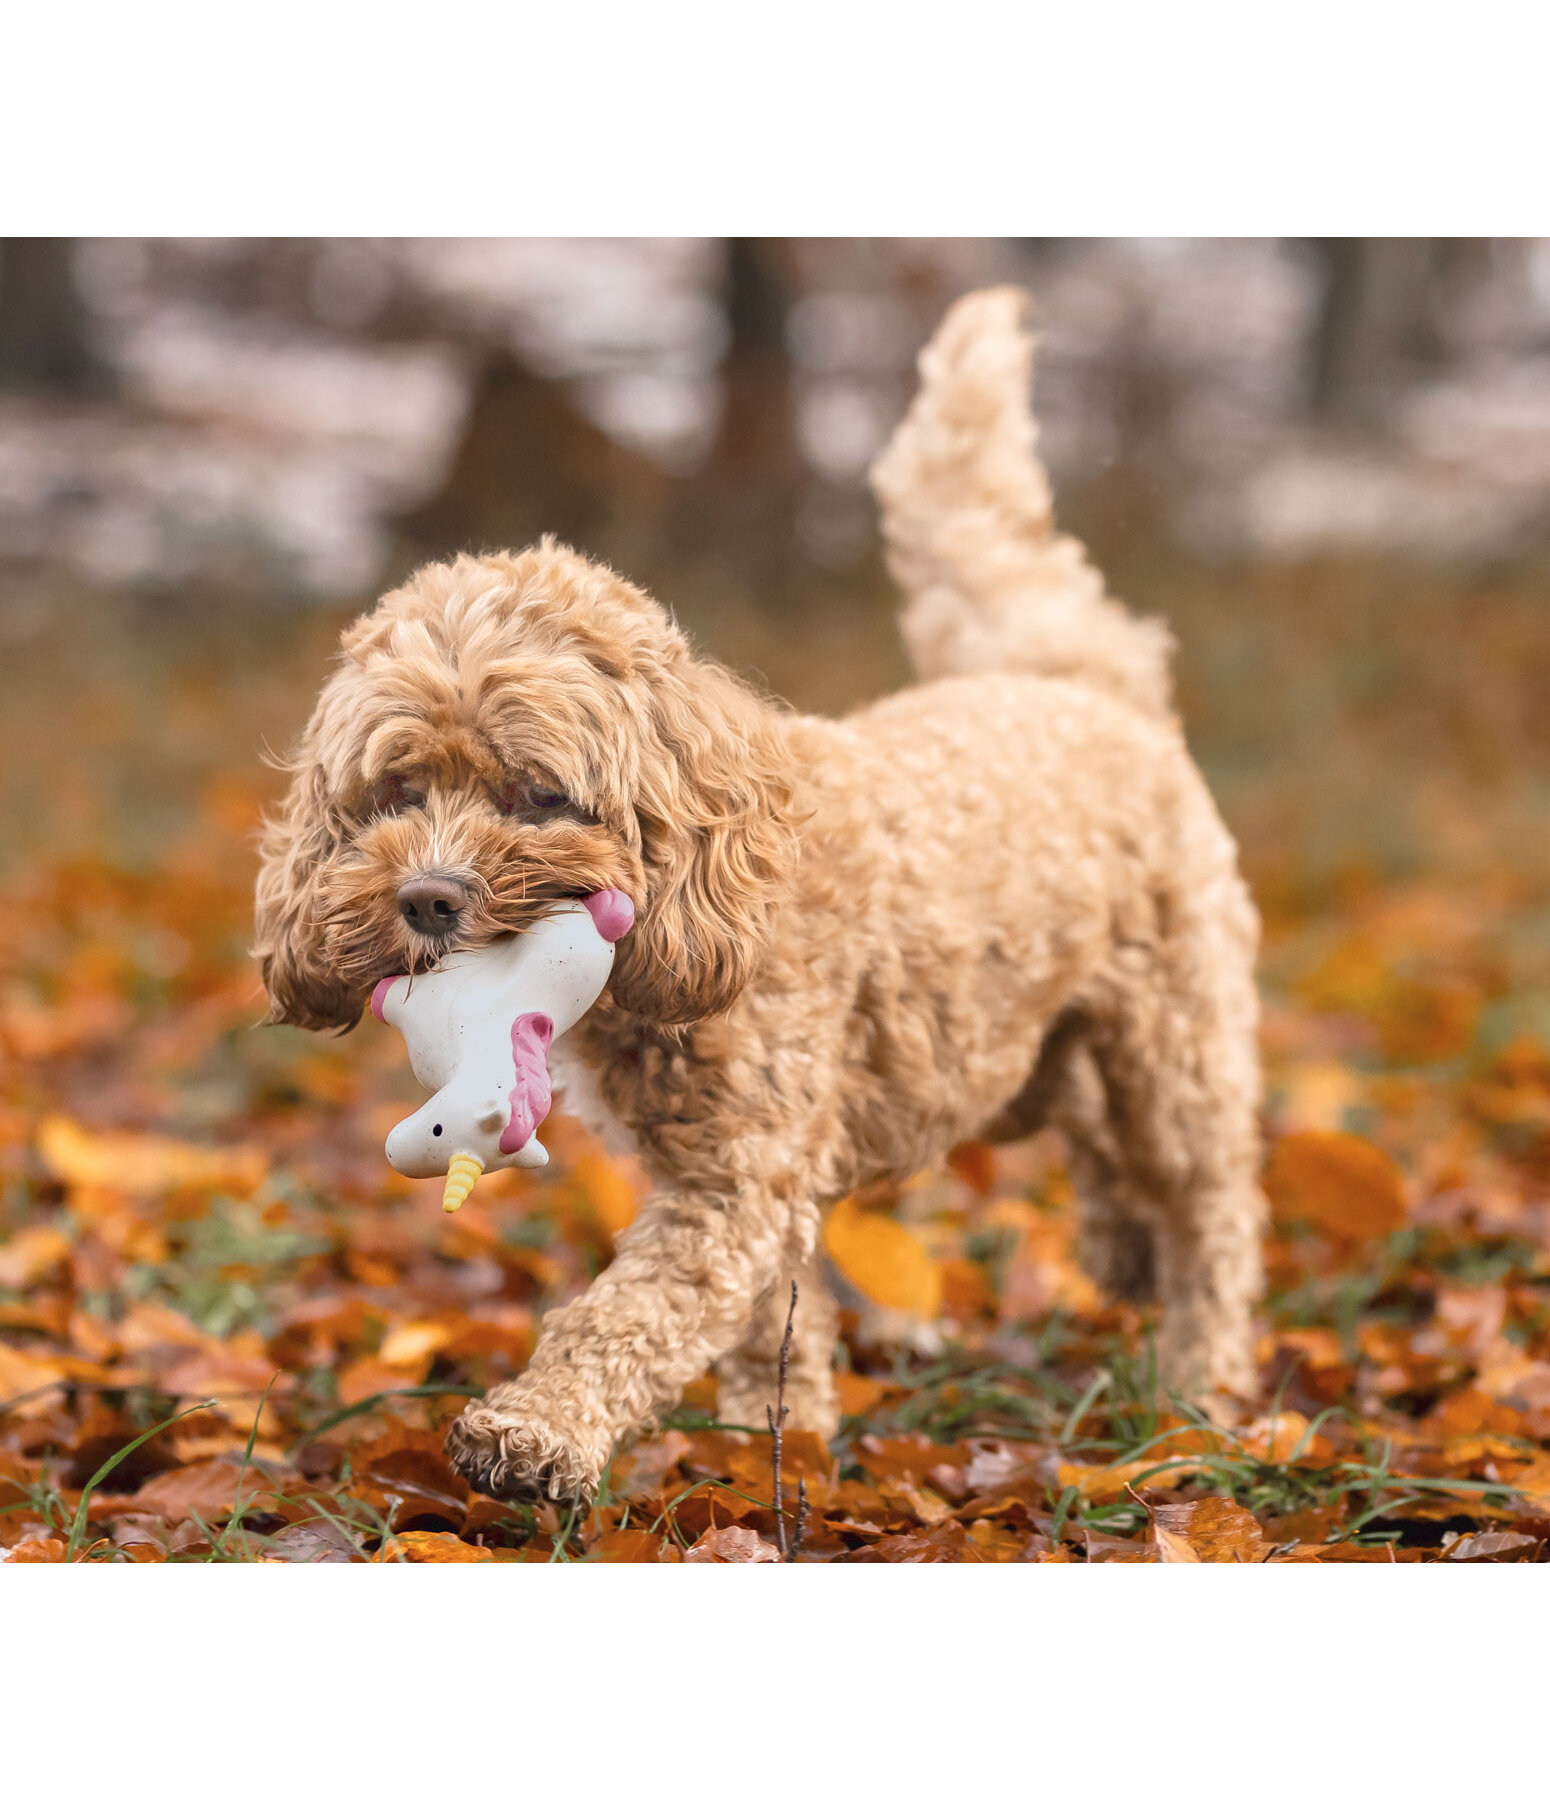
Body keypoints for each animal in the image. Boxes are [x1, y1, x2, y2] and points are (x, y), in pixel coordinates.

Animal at [253, 288, 1267, 1497]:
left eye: (540, 796)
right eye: (397, 791)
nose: (429, 900)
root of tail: (1081, 681)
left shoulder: (733, 1181)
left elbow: (635, 1313)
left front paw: (538, 1430)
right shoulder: (742, 1170)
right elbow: (766, 1325)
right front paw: (769, 1442)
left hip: (1174, 1037)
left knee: (1208, 1203)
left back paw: (1202, 1385)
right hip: (1029, 1046)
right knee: (1088, 1128)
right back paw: (1121, 1252)